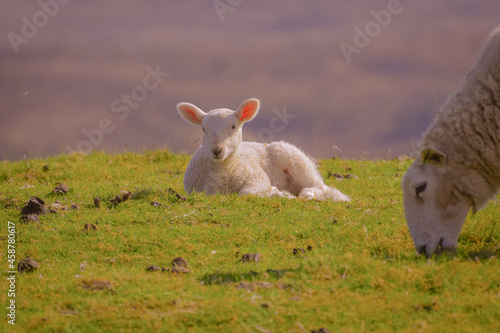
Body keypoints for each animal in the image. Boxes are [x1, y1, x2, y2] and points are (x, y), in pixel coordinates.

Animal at [178, 97, 350, 201]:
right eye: (203, 129)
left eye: (233, 127)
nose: (216, 150)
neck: (223, 170)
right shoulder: (199, 190)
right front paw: (278, 192)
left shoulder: (257, 178)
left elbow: (245, 192)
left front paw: (275, 192)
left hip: (298, 161)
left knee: (319, 187)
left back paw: (306, 193)